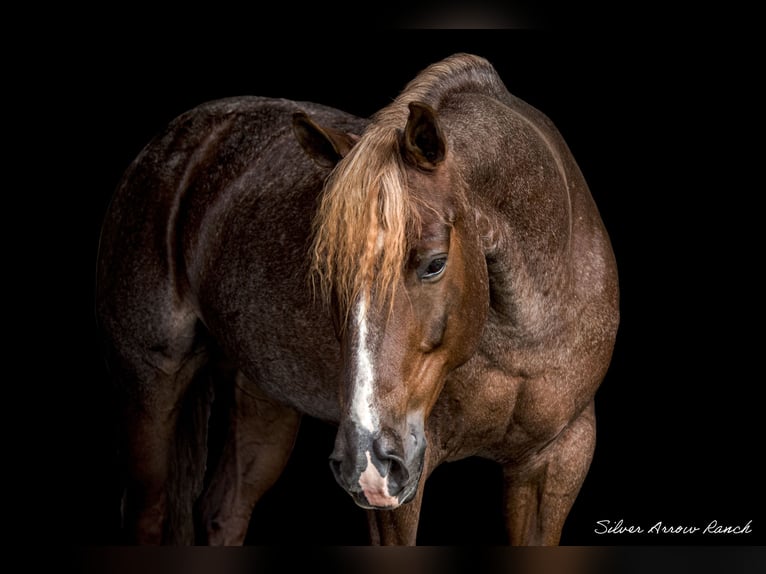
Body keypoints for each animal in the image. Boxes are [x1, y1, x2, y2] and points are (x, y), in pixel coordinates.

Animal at [97, 51, 624, 548]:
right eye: (326, 270)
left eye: (434, 263)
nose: (366, 460)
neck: (524, 333)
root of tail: (178, 142)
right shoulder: (401, 485)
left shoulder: (557, 460)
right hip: (150, 389)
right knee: (149, 516)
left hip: (265, 400)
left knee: (222, 512)